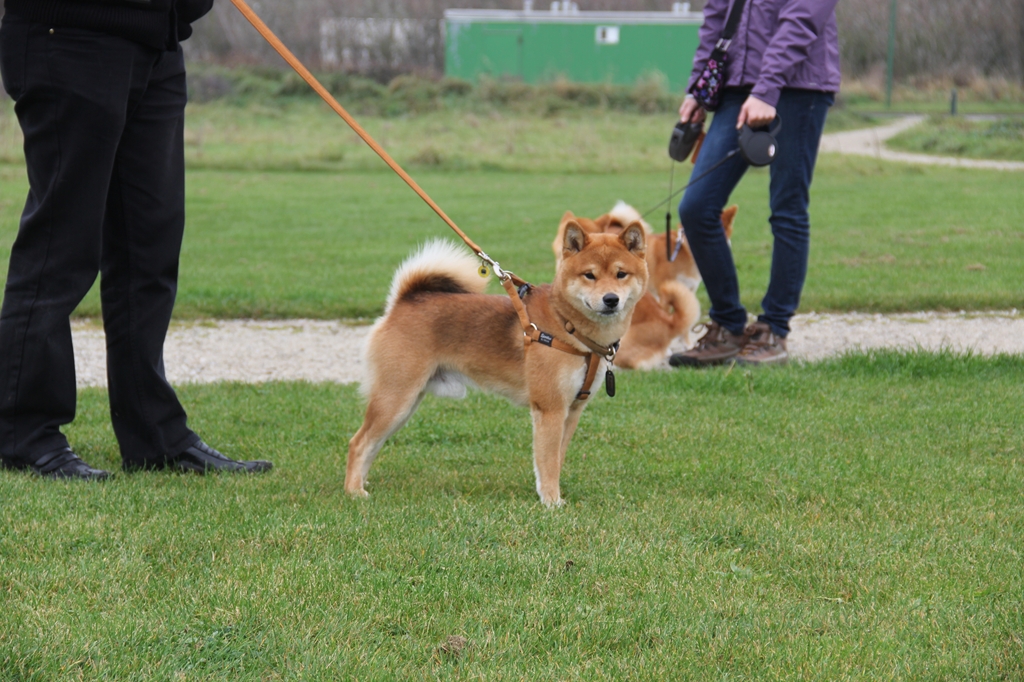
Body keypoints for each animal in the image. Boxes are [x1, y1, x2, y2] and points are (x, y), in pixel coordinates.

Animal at [348, 220, 643, 501]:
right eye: (589, 275)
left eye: (621, 274)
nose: (611, 299)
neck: (567, 325)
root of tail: (402, 303)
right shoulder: (550, 409)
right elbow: (547, 461)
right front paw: (551, 502)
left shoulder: (571, 410)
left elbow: (555, 460)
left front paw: (550, 493)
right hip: (396, 398)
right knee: (358, 443)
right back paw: (353, 491)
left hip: (405, 404)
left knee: (373, 443)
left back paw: (362, 483)